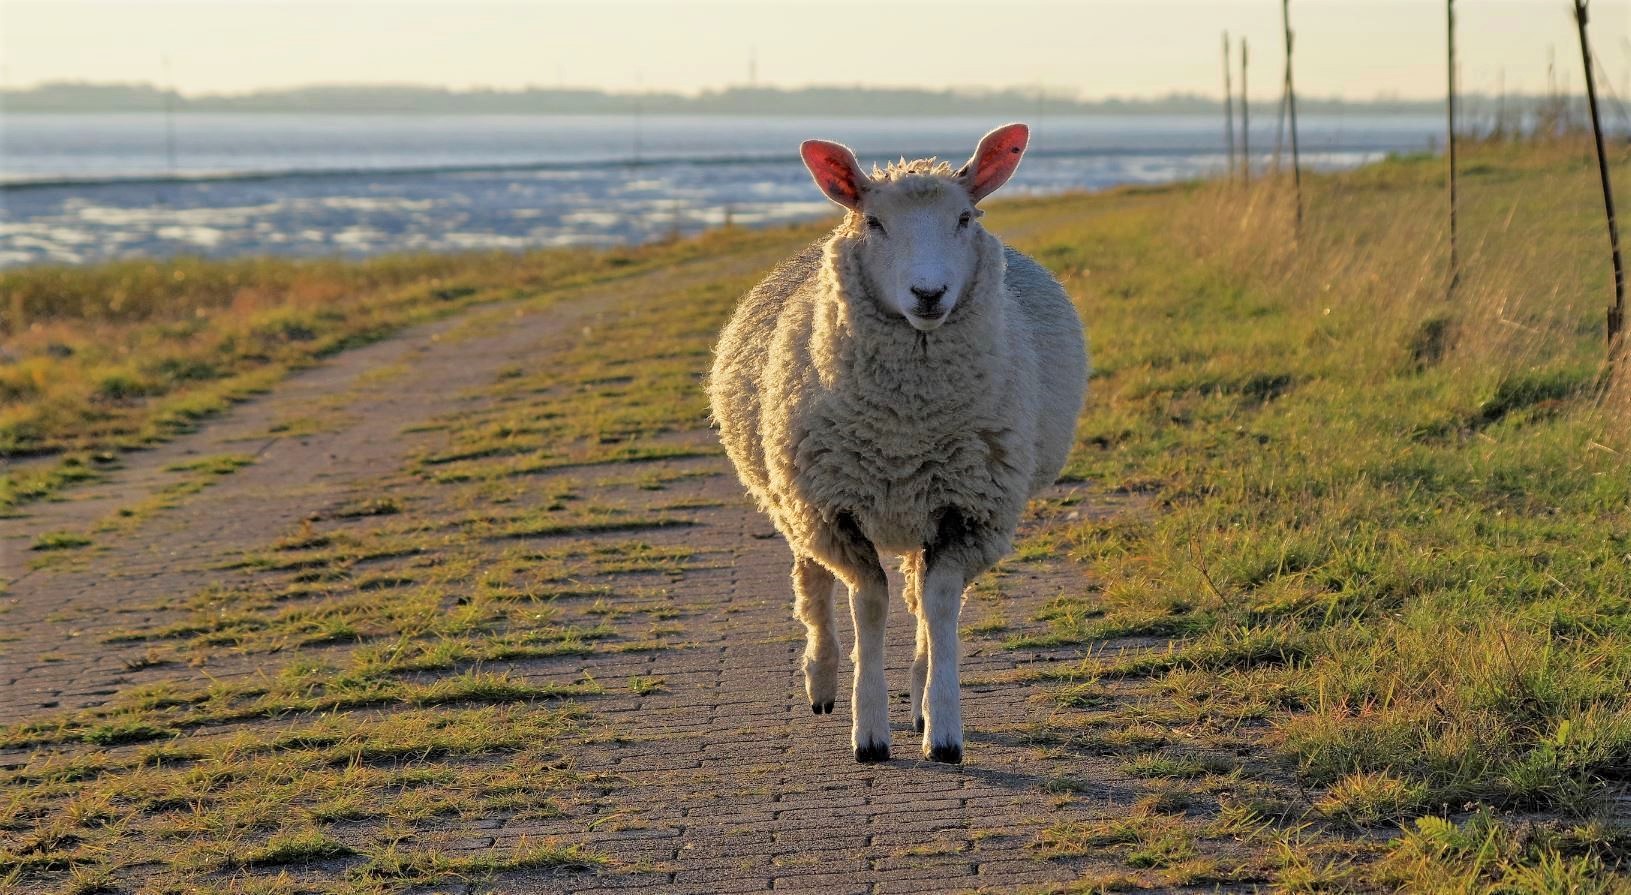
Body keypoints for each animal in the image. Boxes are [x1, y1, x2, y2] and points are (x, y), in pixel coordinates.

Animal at [711, 120, 1082, 759]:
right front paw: (869, 729)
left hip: (919, 508)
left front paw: (943, 727)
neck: (908, 427)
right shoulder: (833, 511)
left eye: (965, 217)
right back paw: (822, 680)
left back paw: (917, 695)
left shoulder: (968, 510)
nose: (928, 294)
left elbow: (939, 604)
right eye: (874, 222)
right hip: (793, 497)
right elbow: (869, 603)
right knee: (812, 580)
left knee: (917, 592)